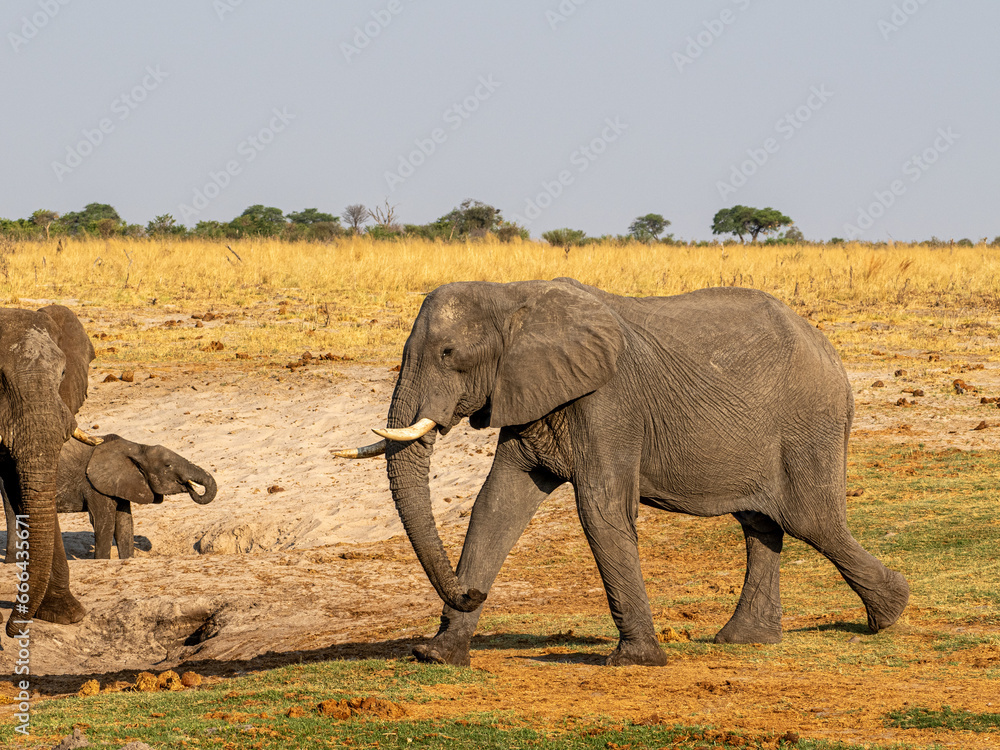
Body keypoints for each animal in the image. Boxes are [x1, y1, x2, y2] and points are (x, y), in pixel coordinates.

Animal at [3, 435, 217, 561]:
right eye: (168, 466)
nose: (190, 486)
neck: (137, 447)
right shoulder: (93, 484)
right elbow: (104, 522)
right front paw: (102, 561)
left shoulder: (121, 482)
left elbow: (124, 523)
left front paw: (127, 560)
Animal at [336, 278, 910, 667]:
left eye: (448, 353)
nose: (469, 592)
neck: (513, 294)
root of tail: (830, 349)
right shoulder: (531, 392)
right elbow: (496, 505)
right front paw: (437, 654)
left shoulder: (608, 401)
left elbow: (600, 508)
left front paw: (634, 661)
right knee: (761, 524)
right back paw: (745, 639)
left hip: (810, 422)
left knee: (811, 521)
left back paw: (890, 613)